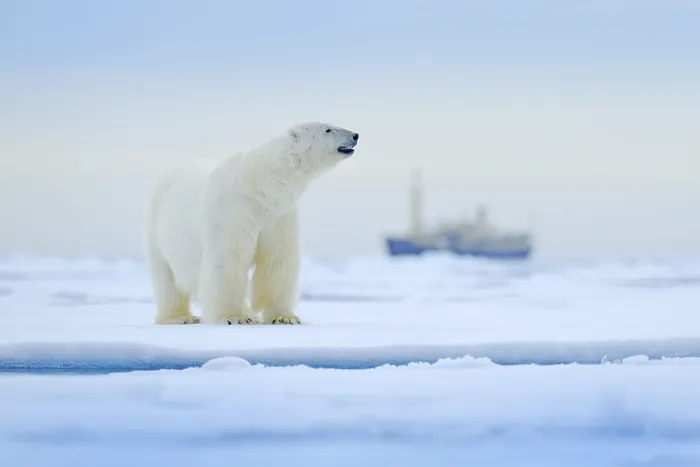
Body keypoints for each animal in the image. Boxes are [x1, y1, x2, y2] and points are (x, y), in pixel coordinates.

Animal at [145, 121, 359, 325]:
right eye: (327, 129)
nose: (355, 135)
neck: (260, 185)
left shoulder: (278, 214)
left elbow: (278, 259)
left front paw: (284, 317)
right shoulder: (234, 210)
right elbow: (229, 258)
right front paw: (235, 317)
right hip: (158, 227)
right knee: (167, 278)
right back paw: (180, 317)